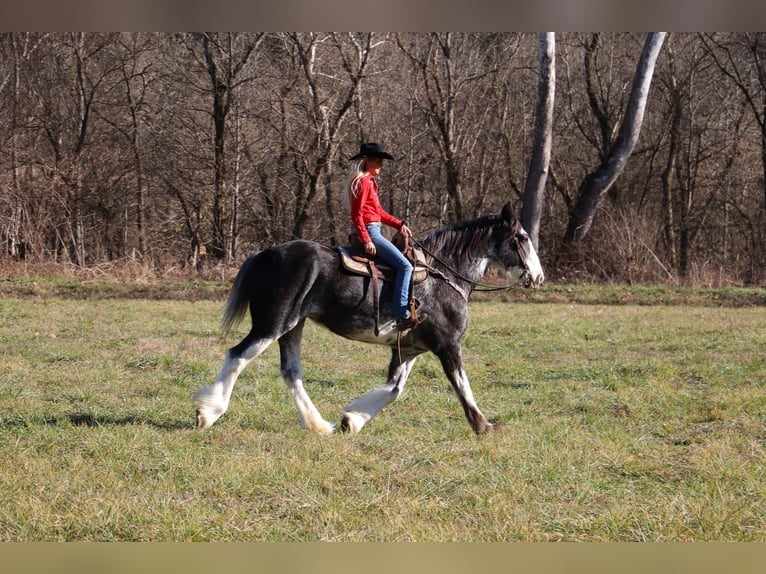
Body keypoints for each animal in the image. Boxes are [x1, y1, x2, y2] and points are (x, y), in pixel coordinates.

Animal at [195, 205, 548, 434]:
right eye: (521, 238)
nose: (539, 277)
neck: (442, 276)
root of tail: (264, 255)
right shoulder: (448, 344)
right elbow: (462, 385)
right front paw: (483, 425)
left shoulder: (409, 349)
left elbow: (394, 389)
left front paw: (352, 420)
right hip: (273, 324)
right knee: (237, 356)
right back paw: (208, 412)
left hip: (293, 327)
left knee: (291, 372)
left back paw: (318, 425)